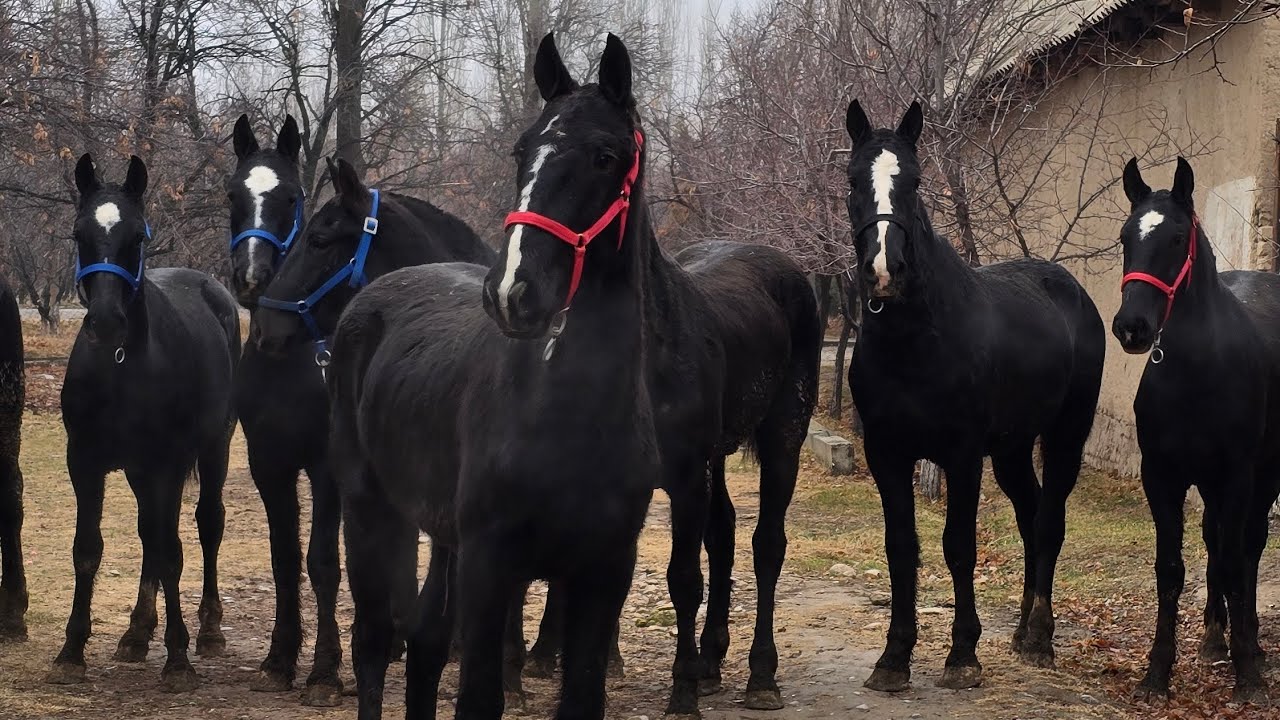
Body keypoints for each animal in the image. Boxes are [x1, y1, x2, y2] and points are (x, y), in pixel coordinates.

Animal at [46, 153, 240, 692]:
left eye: (137, 235)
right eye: (79, 233)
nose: (106, 322)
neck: (121, 369)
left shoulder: (166, 465)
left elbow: (172, 550)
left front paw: (178, 659)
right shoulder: (85, 463)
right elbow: (87, 549)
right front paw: (71, 652)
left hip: (213, 448)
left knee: (205, 524)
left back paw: (209, 630)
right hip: (139, 471)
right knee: (148, 533)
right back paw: (137, 632)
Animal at [324, 32, 756, 720]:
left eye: (605, 156)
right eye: (521, 150)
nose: (512, 293)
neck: (564, 415)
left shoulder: (604, 570)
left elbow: (581, 692)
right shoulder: (491, 564)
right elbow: (478, 694)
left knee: (423, 643)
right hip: (370, 512)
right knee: (372, 641)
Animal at [843, 100, 1105, 692]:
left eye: (915, 181)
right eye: (852, 180)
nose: (884, 270)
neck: (918, 339)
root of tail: (1072, 290)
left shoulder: (961, 456)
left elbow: (959, 547)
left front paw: (962, 654)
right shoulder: (886, 454)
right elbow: (901, 547)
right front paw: (893, 657)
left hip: (1064, 436)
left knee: (1049, 522)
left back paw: (1040, 637)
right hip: (1011, 451)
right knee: (1030, 516)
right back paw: (1023, 629)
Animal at [1113, 157, 1280, 703]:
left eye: (1176, 237)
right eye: (1126, 237)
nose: (1132, 327)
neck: (1197, 371)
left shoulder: (1237, 476)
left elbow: (1235, 562)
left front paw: (1248, 673)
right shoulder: (1163, 477)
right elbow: (1171, 569)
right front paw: (1157, 673)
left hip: (1262, 477)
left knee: (1247, 549)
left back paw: (1251, 644)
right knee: (1215, 540)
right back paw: (1213, 636)